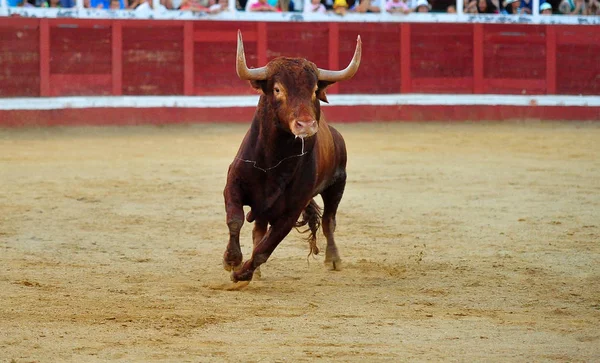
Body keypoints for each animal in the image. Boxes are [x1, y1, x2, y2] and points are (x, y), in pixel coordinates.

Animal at [221, 29, 358, 282]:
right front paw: (232, 260)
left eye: (314, 91)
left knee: (329, 221)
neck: (272, 161)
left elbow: (266, 248)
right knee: (258, 230)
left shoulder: (291, 211)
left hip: (337, 184)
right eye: (277, 89)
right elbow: (235, 220)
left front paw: (242, 274)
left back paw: (333, 259)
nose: (306, 125)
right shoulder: (233, 186)